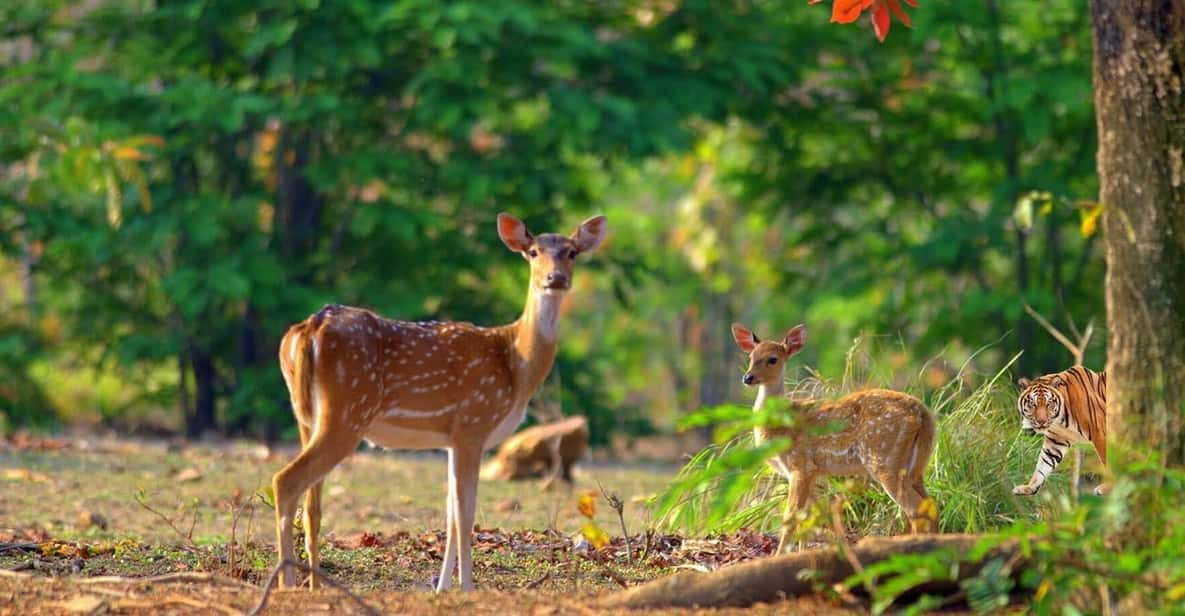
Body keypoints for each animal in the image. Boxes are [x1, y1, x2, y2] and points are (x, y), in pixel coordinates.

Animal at [272, 213, 606, 592]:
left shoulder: (451, 437)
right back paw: (286, 584)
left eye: (572, 252)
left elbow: (450, 511)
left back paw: (312, 585)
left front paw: (443, 587)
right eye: (533, 252)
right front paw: (467, 588)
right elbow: (465, 511)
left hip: (306, 415)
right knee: (286, 481)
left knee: (311, 503)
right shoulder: (474, 422)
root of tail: (308, 329)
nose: (556, 278)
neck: (515, 364)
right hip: (347, 410)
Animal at [725, 322, 938, 554]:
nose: (748, 378)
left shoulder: (801, 465)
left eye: (772, 359)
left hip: (885, 459)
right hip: (916, 465)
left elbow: (791, 517)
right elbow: (808, 518)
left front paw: (779, 555)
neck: (781, 425)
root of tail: (923, 414)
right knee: (930, 504)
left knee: (915, 509)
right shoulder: (810, 473)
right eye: (750, 357)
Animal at [1014, 364, 1104, 495]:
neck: (1061, 420)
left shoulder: (1100, 432)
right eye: (1033, 404)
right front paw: (1029, 487)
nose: (1041, 421)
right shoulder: (1055, 441)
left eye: (1049, 404)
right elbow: (1043, 464)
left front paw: (1108, 487)